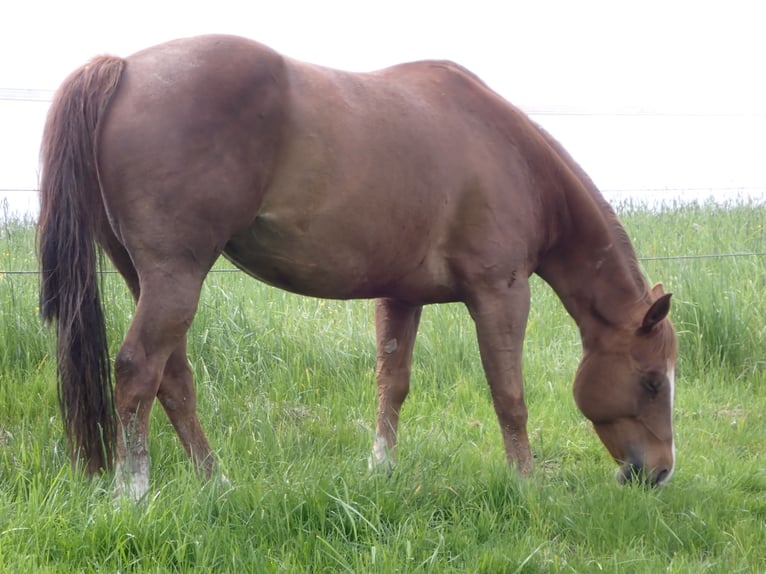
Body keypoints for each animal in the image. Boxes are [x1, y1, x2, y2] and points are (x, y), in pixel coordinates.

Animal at [37, 34, 677, 499]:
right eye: (651, 380)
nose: (660, 472)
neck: (511, 156)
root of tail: (124, 68)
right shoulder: (501, 294)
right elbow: (509, 394)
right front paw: (525, 483)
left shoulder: (401, 296)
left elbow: (392, 384)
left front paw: (382, 469)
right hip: (175, 277)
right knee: (138, 370)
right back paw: (134, 493)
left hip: (145, 277)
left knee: (173, 378)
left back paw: (215, 481)